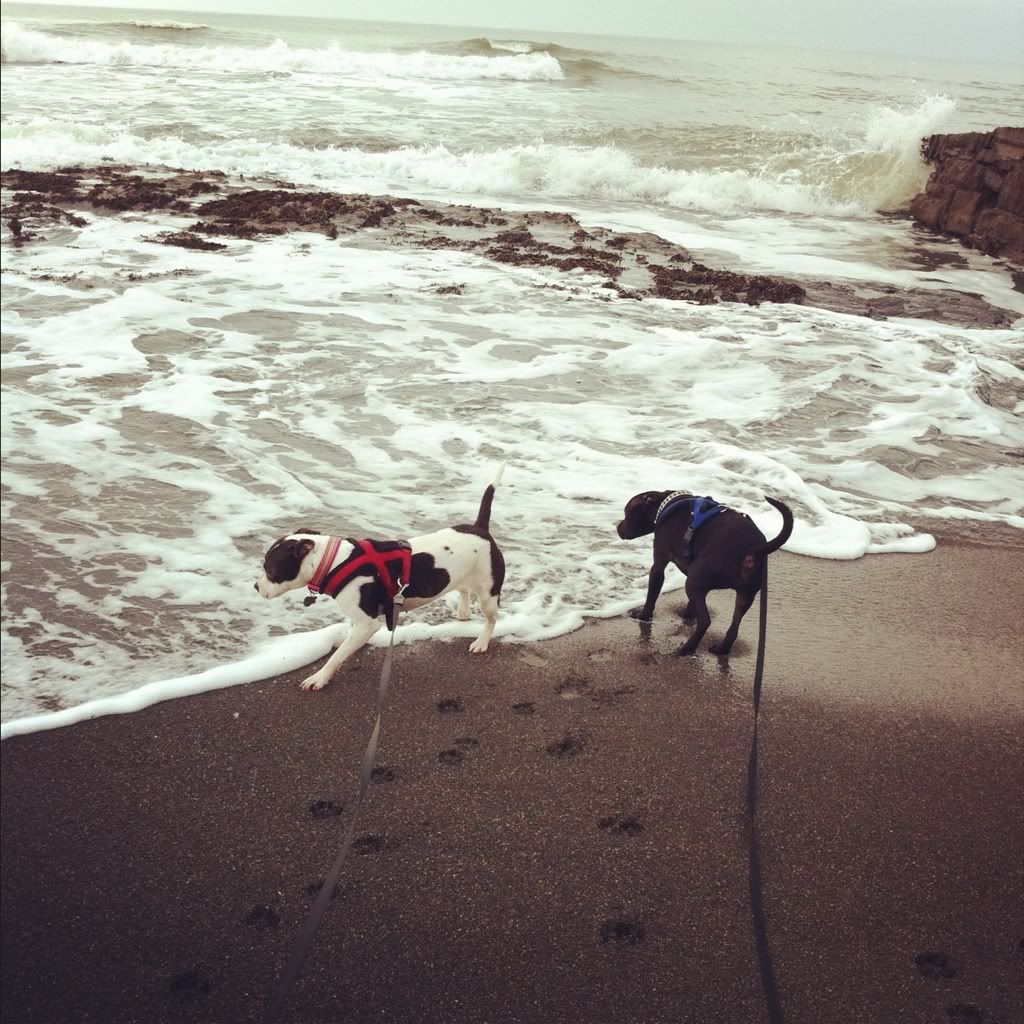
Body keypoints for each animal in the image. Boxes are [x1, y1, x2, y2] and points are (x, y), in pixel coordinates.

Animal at [258, 466, 505, 692]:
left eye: (270, 569)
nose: (255, 586)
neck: (334, 561)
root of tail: (480, 529)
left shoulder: (367, 624)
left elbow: (337, 656)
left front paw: (319, 677)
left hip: (488, 592)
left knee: (491, 618)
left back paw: (481, 642)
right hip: (463, 574)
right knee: (463, 589)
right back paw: (463, 612)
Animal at [614, 493, 790, 655]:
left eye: (626, 512)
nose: (617, 527)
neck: (665, 503)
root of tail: (754, 548)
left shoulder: (659, 566)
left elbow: (652, 596)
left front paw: (643, 615)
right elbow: (691, 604)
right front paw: (687, 615)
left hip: (694, 582)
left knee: (705, 621)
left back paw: (686, 649)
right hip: (744, 595)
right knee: (734, 628)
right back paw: (721, 649)